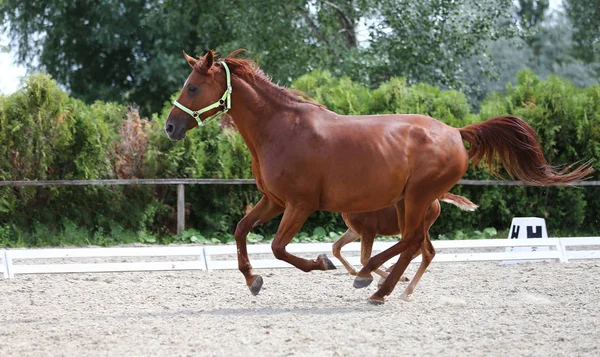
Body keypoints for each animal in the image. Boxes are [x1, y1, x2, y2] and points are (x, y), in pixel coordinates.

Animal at [166, 50, 592, 304]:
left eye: (193, 87)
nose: (170, 127)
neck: (281, 128)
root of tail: (456, 133)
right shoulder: (274, 201)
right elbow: (241, 231)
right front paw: (252, 280)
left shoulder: (299, 205)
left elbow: (278, 248)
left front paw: (322, 263)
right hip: (407, 202)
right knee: (414, 243)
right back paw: (380, 286)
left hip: (418, 197)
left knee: (412, 241)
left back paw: (371, 279)